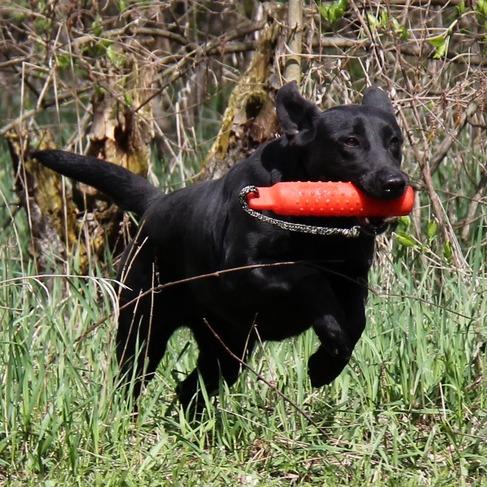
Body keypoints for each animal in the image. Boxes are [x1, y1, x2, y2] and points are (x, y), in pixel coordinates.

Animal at [33, 83, 408, 412]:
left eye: (395, 142)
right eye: (350, 142)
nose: (395, 183)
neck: (317, 225)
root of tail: (156, 204)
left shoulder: (353, 279)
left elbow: (356, 321)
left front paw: (325, 364)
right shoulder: (243, 271)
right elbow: (308, 276)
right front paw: (329, 345)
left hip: (227, 347)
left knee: (190, 389)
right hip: (144, 329)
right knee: (131, 380)